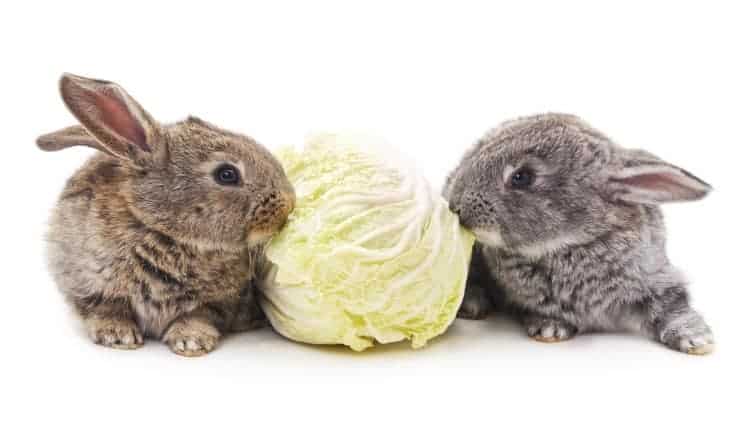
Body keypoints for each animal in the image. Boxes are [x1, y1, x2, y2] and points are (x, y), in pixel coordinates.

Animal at [38, 74, 296, 358]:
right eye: (226, 174)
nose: (288, 205)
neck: (160, 228)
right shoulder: (91, 286)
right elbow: (106, 309)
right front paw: (117, 335)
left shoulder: (217, 302)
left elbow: (198, 316)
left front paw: (191, 341)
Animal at [446, 112, 716, 356]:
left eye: (522, 177)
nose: (456, 205)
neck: (573, 242)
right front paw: (550, 329)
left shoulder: (655, 278)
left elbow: (673, 307)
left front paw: (697, 339)